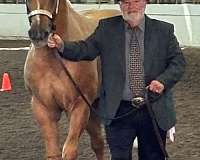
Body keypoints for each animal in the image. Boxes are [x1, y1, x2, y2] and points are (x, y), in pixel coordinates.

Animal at [23, 0, 120, 160]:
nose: (38, 34)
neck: (53, 59)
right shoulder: (42, 108)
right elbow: (53, 153)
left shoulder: (79, 105)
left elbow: (69, 151)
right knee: (98, 143)